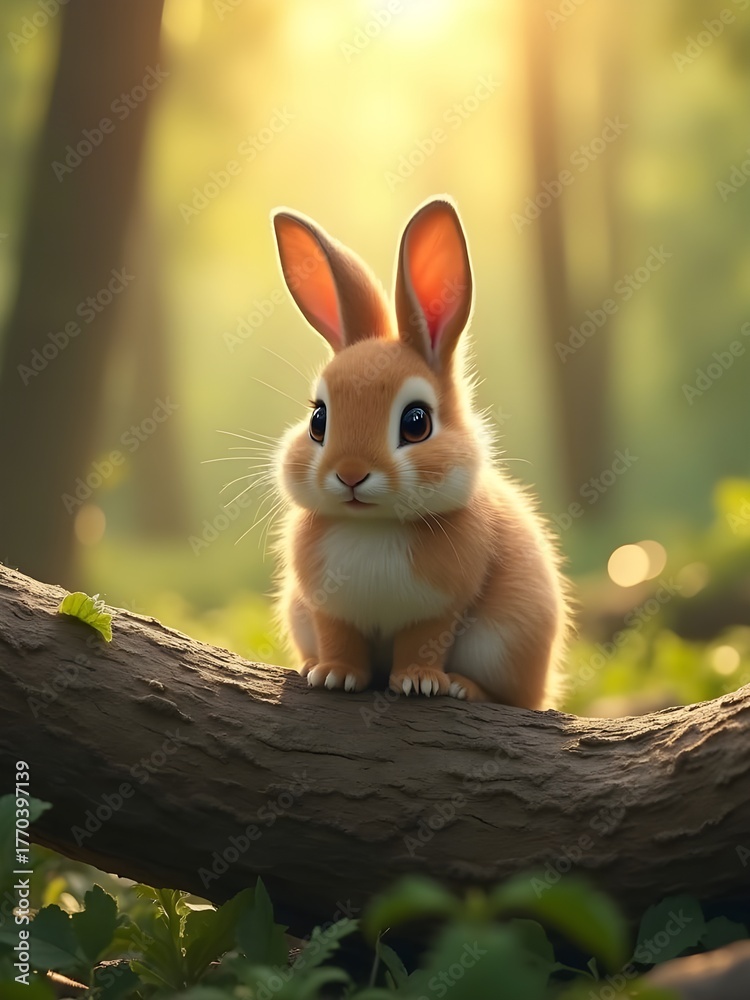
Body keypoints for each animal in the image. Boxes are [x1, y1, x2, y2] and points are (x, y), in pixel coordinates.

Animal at [270, 196, 570, 707]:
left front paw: (418, 682)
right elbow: (339, 639)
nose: (350, 474)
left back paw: (465, 688)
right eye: (318, 420)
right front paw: (333, 674)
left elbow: (423, 641)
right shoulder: (327, 608)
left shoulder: (440, 610)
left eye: (416, 422)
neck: (374, 526)